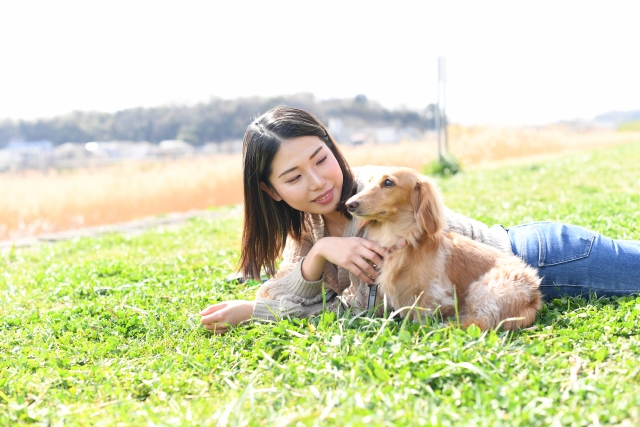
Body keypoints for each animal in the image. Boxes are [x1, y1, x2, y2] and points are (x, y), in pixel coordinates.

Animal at [344, 167, 540, 332]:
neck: (400, 241)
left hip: (484, 290)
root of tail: (534, 296)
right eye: (369, 182)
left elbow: (423, 314)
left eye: (388, 182)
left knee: (477, 323)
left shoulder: (433, 294)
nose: (349, 204)